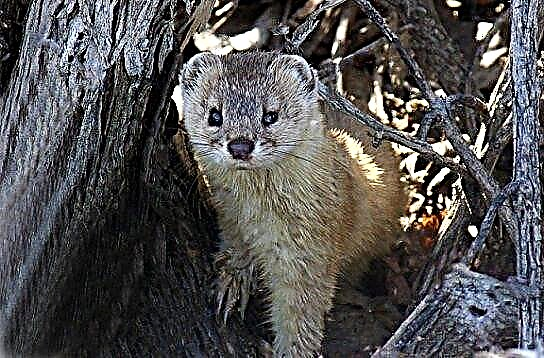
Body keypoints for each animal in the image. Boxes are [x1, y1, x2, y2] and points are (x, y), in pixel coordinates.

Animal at [174, 51, 404, 358]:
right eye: (214, 114)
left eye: (271, 115)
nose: (240, 145)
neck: (259, 220)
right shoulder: (229, 218)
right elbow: (235, 248)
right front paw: (233, 282)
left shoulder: (312, 254)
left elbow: (301, 318)